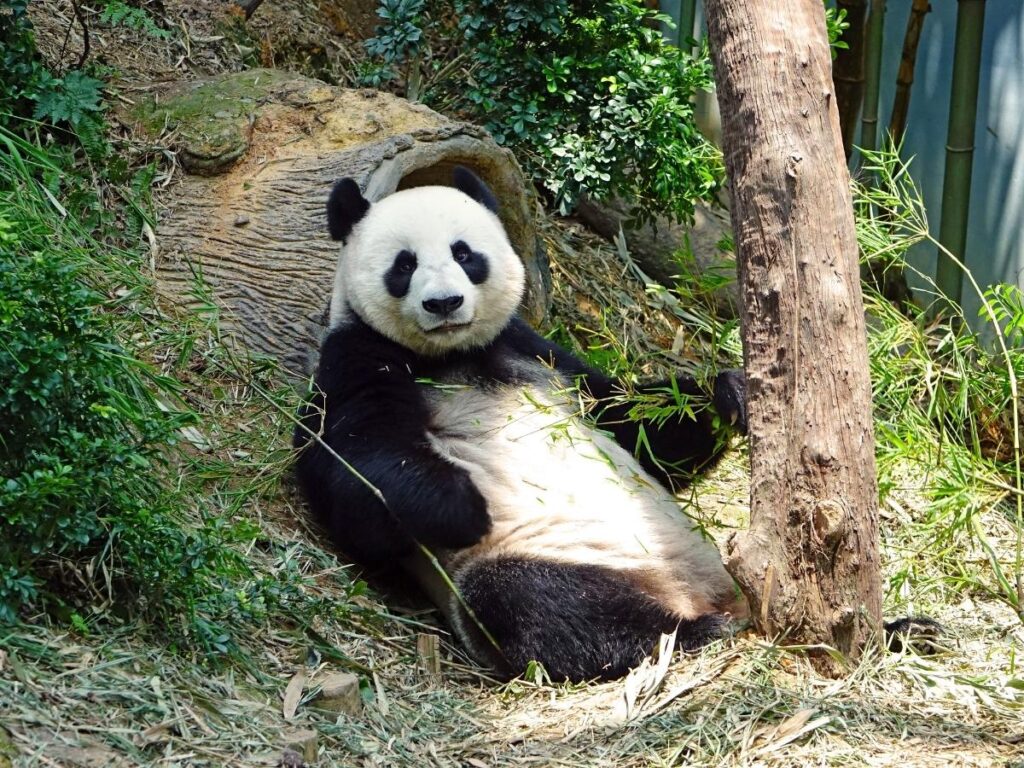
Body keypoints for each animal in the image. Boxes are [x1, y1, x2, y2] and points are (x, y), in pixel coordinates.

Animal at [293, 167, 751, 683]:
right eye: (404, 264)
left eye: (464, 253)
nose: (444, 303)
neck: (451, 355)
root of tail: (687, 591)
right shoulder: (356, 356)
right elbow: (353, 470)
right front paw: (463, 506)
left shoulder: (536, 352)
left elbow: (633, 424)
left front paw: (729, 394)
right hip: (549, 554)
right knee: (541, 603)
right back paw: (690, 632)